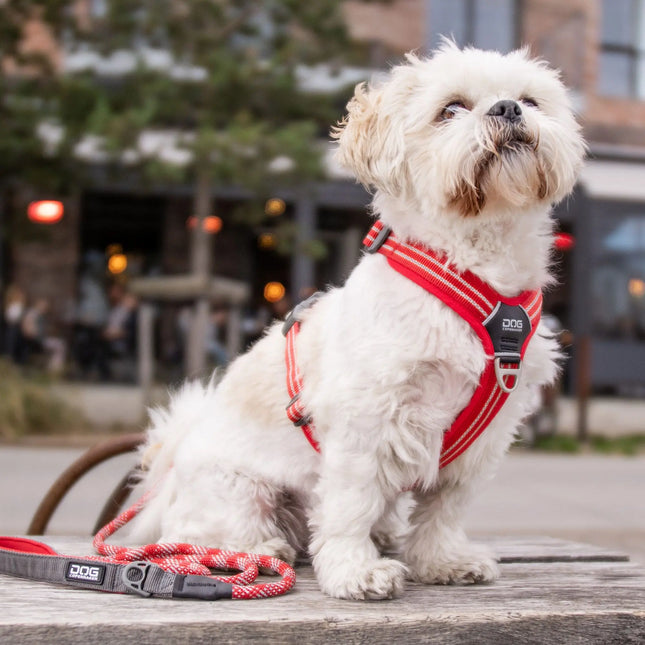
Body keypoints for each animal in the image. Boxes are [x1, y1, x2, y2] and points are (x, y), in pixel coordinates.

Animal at [128, 44, 588, 600]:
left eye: (530, 100)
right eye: (451, 109)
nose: (507, 109)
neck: (473, 274)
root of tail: (171, 466)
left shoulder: (488, 431)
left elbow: (445, 505)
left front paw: (442, 559)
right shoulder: (366, 418)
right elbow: (352, 501)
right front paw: (355, 570)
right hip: (237, 487)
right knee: (202, 532)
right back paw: (261, 549)